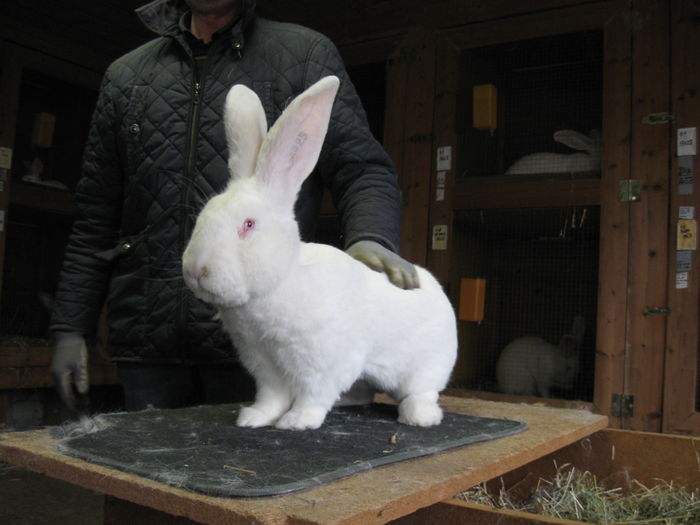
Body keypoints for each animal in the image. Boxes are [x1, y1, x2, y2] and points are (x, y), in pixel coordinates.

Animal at [182, 78, 460, 430]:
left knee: (421, 392)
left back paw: (418, 416)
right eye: (203, 216)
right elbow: (271, 396)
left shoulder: (323, 362)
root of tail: (434, 285)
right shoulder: (264, 364)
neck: (281, 281)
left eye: (248, 224)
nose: (196, 270)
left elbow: (313, 394)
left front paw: (296, 421)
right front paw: (255, 418)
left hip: (426, 366)